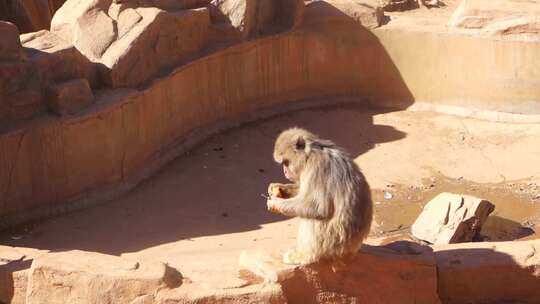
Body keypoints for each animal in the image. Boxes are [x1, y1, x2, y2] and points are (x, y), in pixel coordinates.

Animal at [264, 127, 372, 264]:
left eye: (285, 163)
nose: (284, 172)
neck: (310, 155)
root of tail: (352, 248)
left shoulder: (316, 168)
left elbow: (318, 208)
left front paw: (275, 204)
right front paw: (278, 188)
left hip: (331, 241)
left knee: (312, 216)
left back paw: (304, 255)